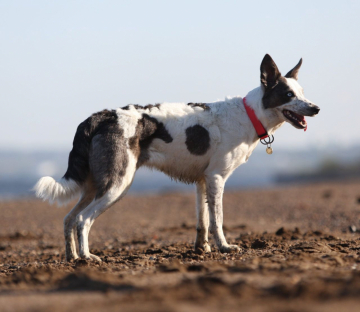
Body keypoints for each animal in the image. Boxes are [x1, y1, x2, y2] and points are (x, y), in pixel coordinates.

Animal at [34, 54, 320, 262]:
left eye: (303, 92)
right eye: (288, 95)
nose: (316, 108)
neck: (249, 114)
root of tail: (101, 116)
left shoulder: (202, 182)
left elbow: (202, 222)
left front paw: (202, 250)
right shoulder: (217, 178)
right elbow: (217, 220)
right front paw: (225, 247)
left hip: (95, 186)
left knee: (69, 219)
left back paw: (72, 257)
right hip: (116, 185)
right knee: (83, 220)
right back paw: (87, 257)